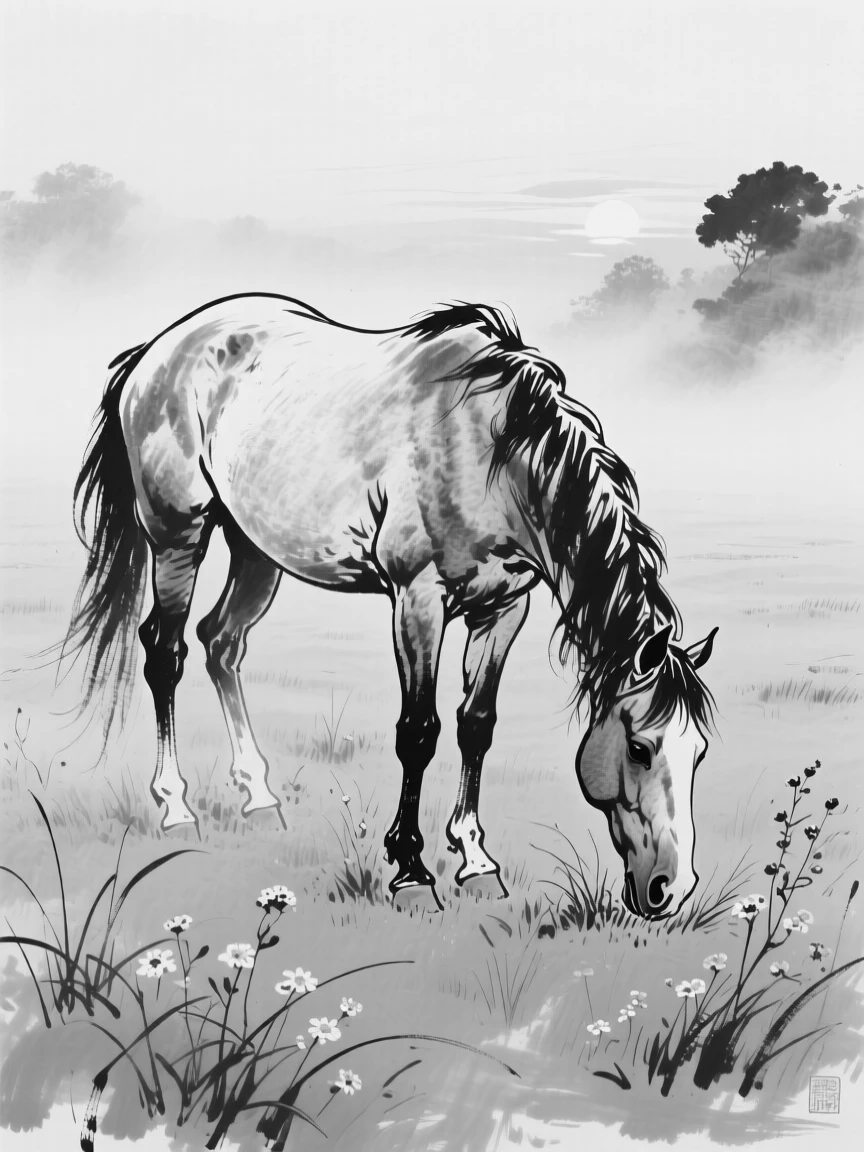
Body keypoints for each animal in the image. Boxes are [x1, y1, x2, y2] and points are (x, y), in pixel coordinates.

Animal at [63, 291, 717, 919]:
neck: (490, 454)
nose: (670, 889)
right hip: (179, 535)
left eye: (700, 753)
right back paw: (176, 808)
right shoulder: (418, 600)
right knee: (164, 652)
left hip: (255, 549)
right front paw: (410, 872)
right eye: (640, 748)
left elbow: (476, 725)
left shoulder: (504, 609)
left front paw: (476, 861)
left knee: (220, 643)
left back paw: (260, 799)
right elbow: (418, 732)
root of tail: (158, 349)